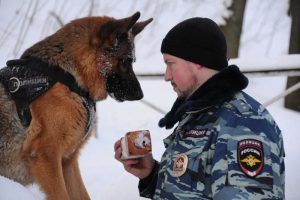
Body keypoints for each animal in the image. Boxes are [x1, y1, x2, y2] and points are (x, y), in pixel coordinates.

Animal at [0, 11, 152, 199]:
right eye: (125, 62)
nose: (140, 95)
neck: (70, 78)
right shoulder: (46, 155)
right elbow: (61, 194)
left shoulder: (67, 162)